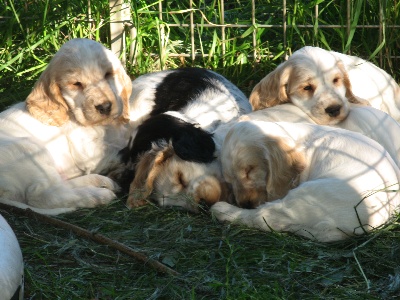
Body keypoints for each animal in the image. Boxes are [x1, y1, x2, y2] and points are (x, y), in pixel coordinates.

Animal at [0, 38, 132, 216]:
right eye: (77, 84)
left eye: (108, 74)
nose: (104, 107)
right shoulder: (90, 152)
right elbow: (119, 148)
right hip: (28, 151)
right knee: (44, 195)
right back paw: (97, 195)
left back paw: (100, 182)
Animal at [209, 120, 400, 243]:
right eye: (229, 179)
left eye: (250, 170)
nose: (245, 204)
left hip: (305, 196)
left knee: (264, 217)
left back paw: (222, 209)